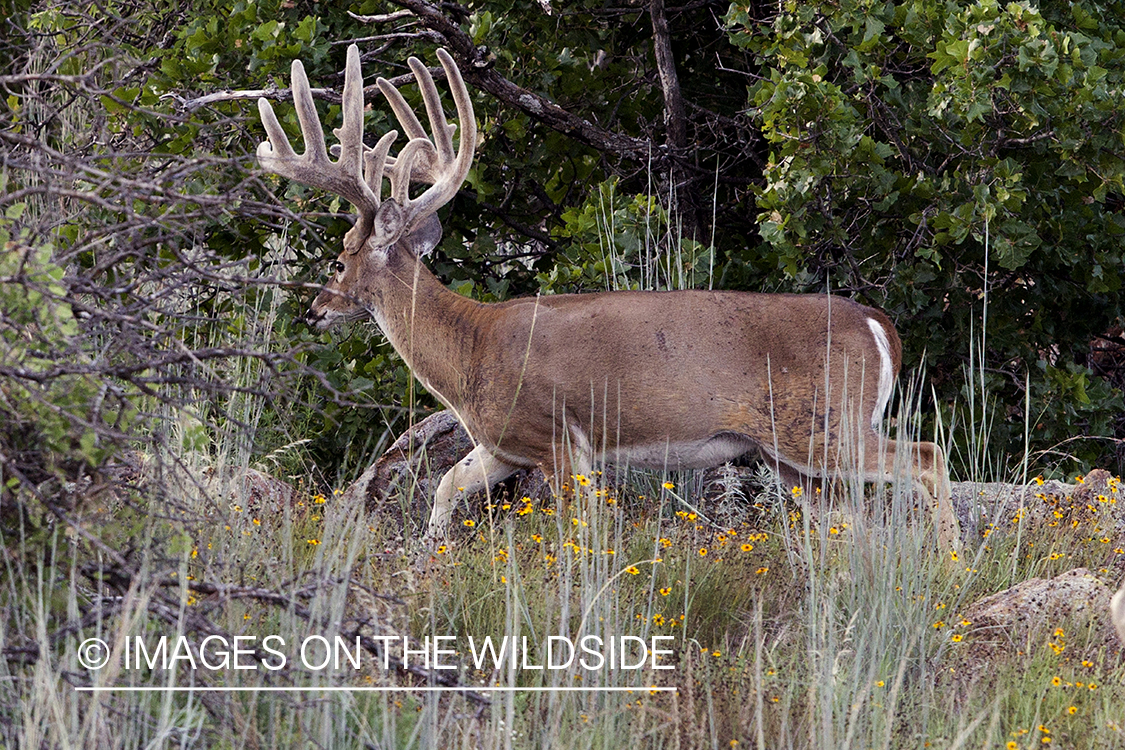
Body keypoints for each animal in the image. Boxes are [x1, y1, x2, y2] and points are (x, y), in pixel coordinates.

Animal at [255, 45, 958, 550]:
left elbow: (579, 531)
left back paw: (950, 566)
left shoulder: (561, 439)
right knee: (854, 513)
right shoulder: (503, 442)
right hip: (790, 454)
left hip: (824, 427)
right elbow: (446, 486)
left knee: (925, 457)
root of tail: (879, 324)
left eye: (340, 258)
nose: (316, 309)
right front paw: (430, 554)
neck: (470, 351)